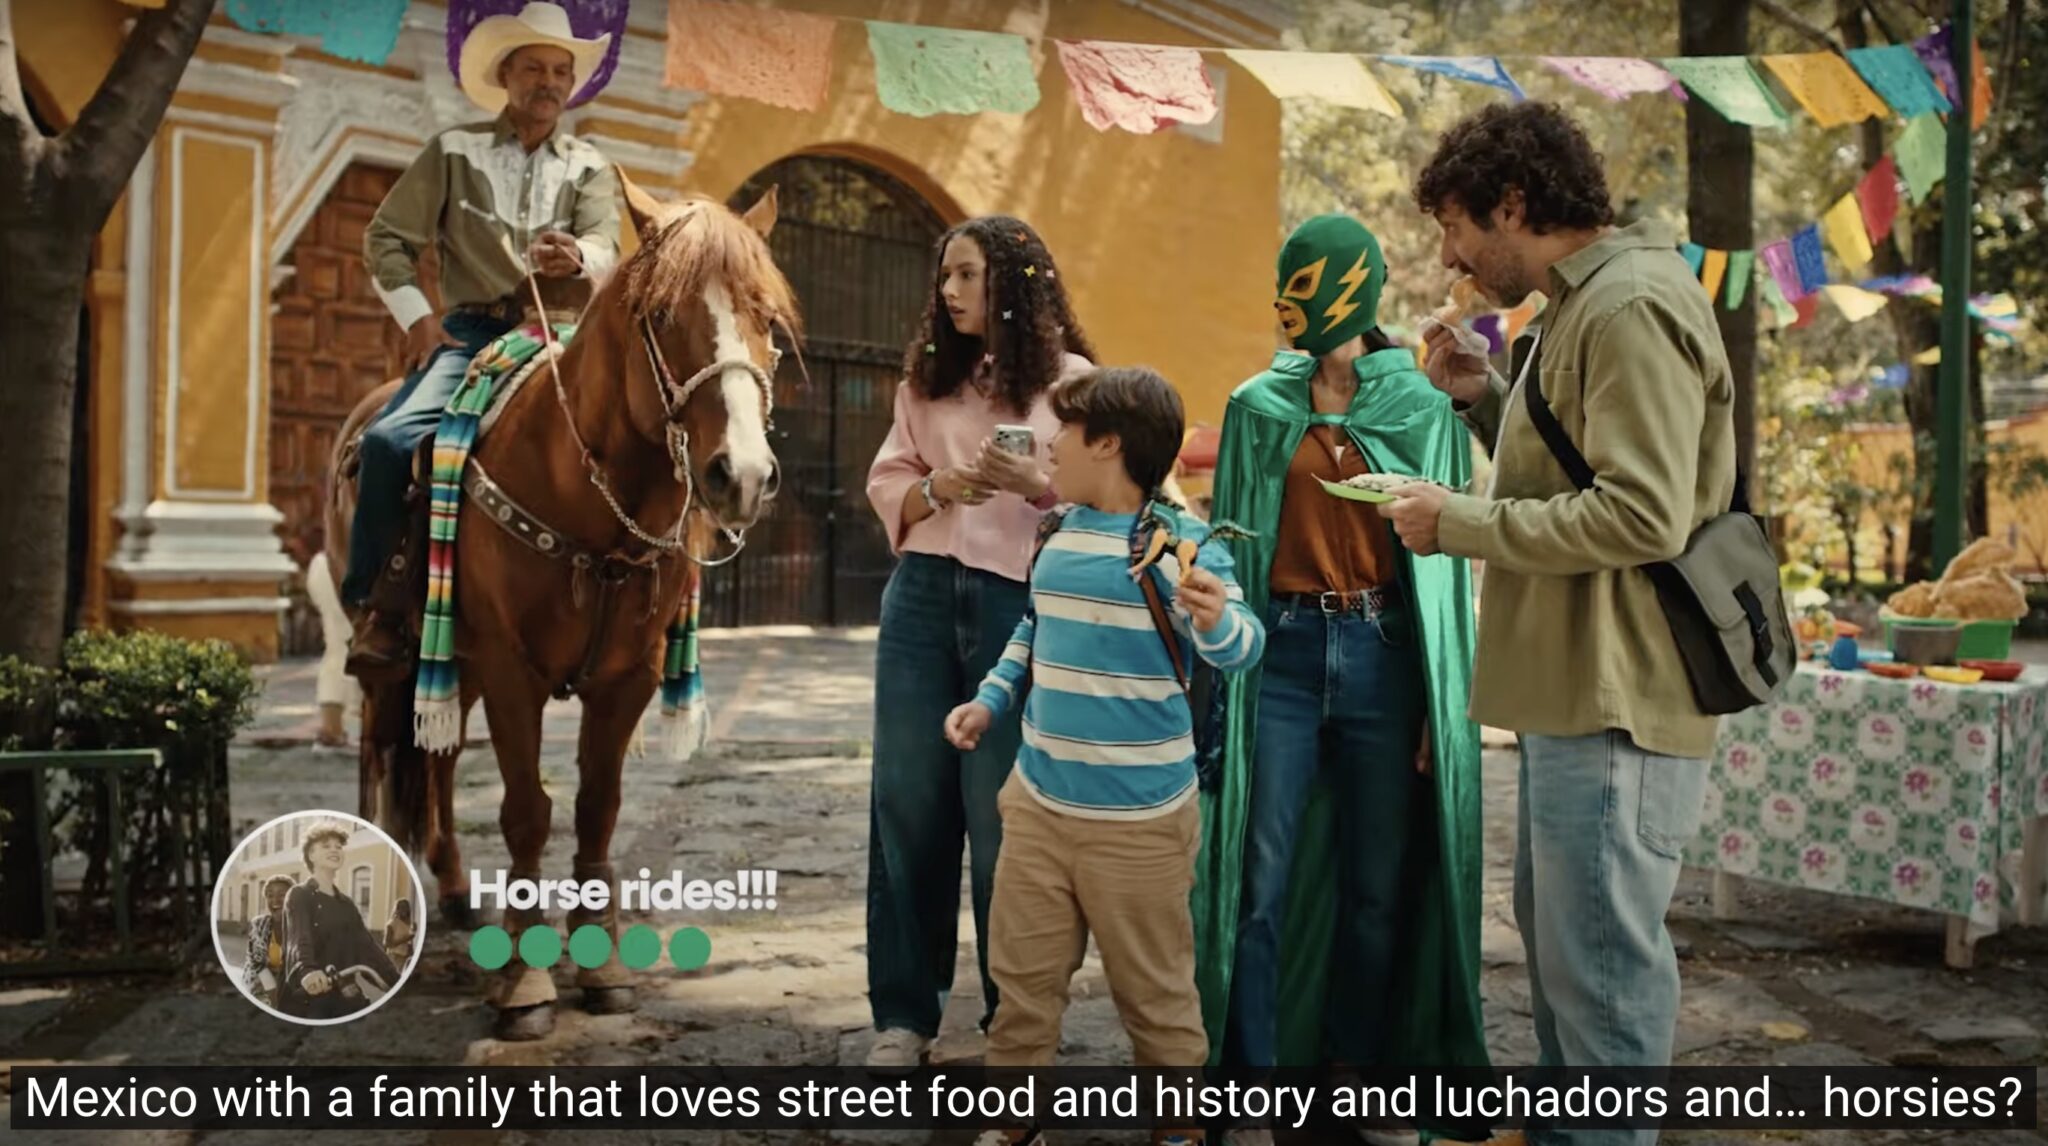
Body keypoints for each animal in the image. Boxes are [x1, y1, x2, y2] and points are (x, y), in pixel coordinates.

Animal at [323, 179, 794, 1039]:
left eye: (768, 320)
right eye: (661, 314)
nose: (740, 476)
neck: (589, 499)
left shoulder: (626, 677)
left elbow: (596, 808)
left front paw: (601, 966)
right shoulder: (513, 670)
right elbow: (526, 812)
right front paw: (523, 980)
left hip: (458, 658)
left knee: (439, 763)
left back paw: (456, 891)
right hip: (394, 655)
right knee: (382, 749)